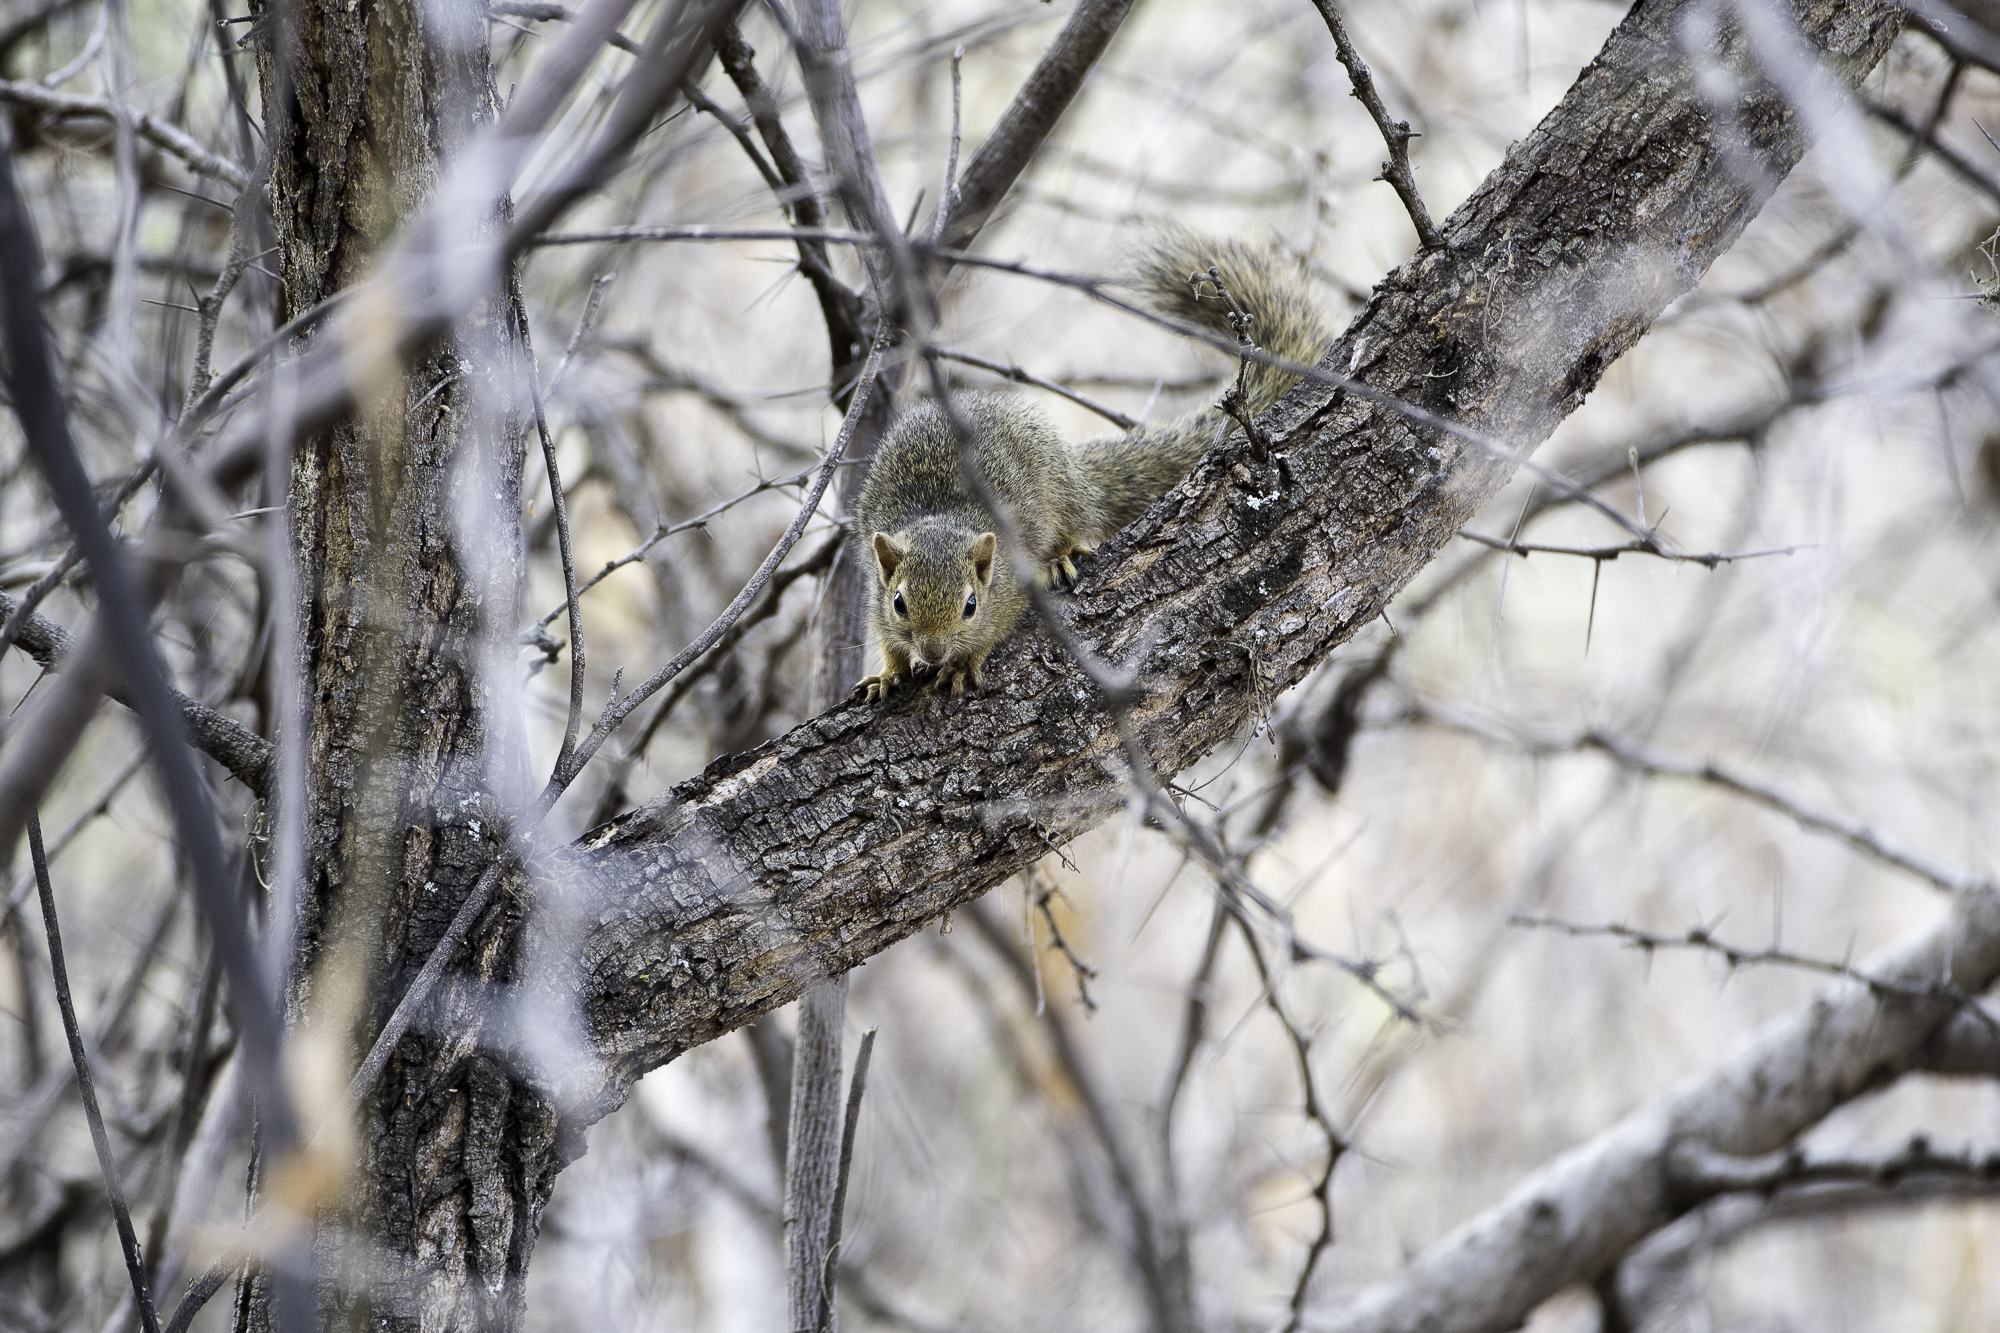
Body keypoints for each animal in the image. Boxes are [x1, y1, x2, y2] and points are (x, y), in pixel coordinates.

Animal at [852, 230, 1336, 700]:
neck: (943, 519)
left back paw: (1061, 556)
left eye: (971, 604)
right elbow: (886, 641)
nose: (933, 652)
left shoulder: (1009, 593)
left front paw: (963, 663)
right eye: (899, 603)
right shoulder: (875, 600)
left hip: (1062, 493)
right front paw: (888, 674)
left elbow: (995, 630)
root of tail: (1074, 467)